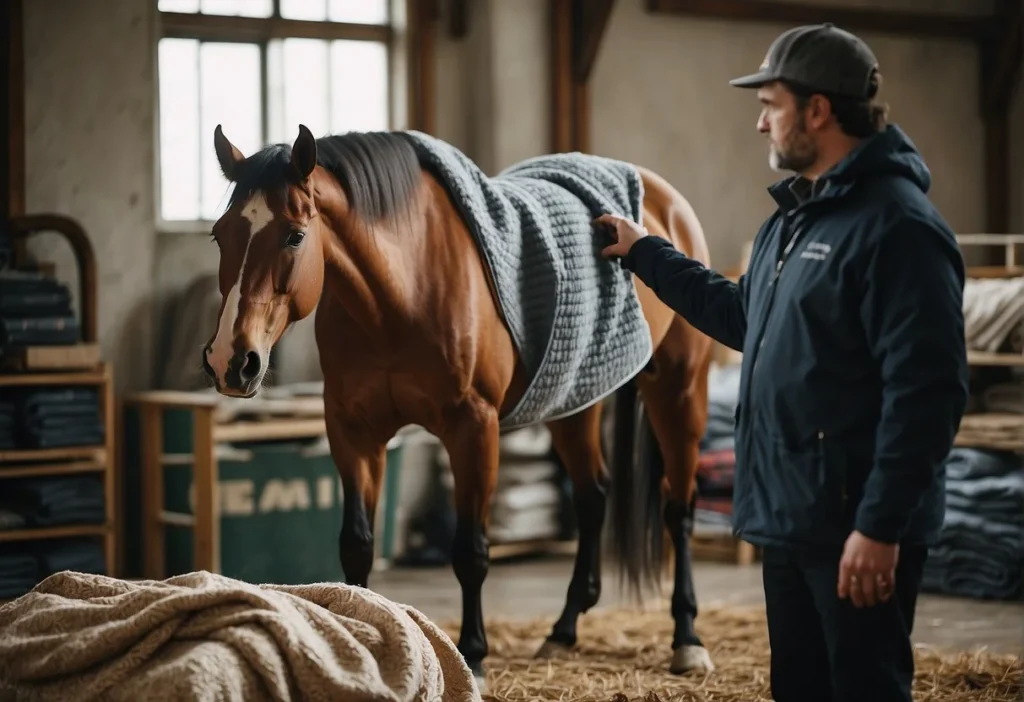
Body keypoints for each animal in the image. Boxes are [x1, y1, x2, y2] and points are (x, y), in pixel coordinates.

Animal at [197, 123, 712, 683]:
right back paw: (563, 630)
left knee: (678, 509)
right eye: (219, 234)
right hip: (574, 400)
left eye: (294, 234)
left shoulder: (473, 429)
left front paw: (475, 655)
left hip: (678, 389)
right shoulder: (353, 431)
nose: (231, 360)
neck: (403, 290)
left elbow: (470, 551)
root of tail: (664, 199)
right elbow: (357, 546)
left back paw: (687, 638)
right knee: (593, 496)